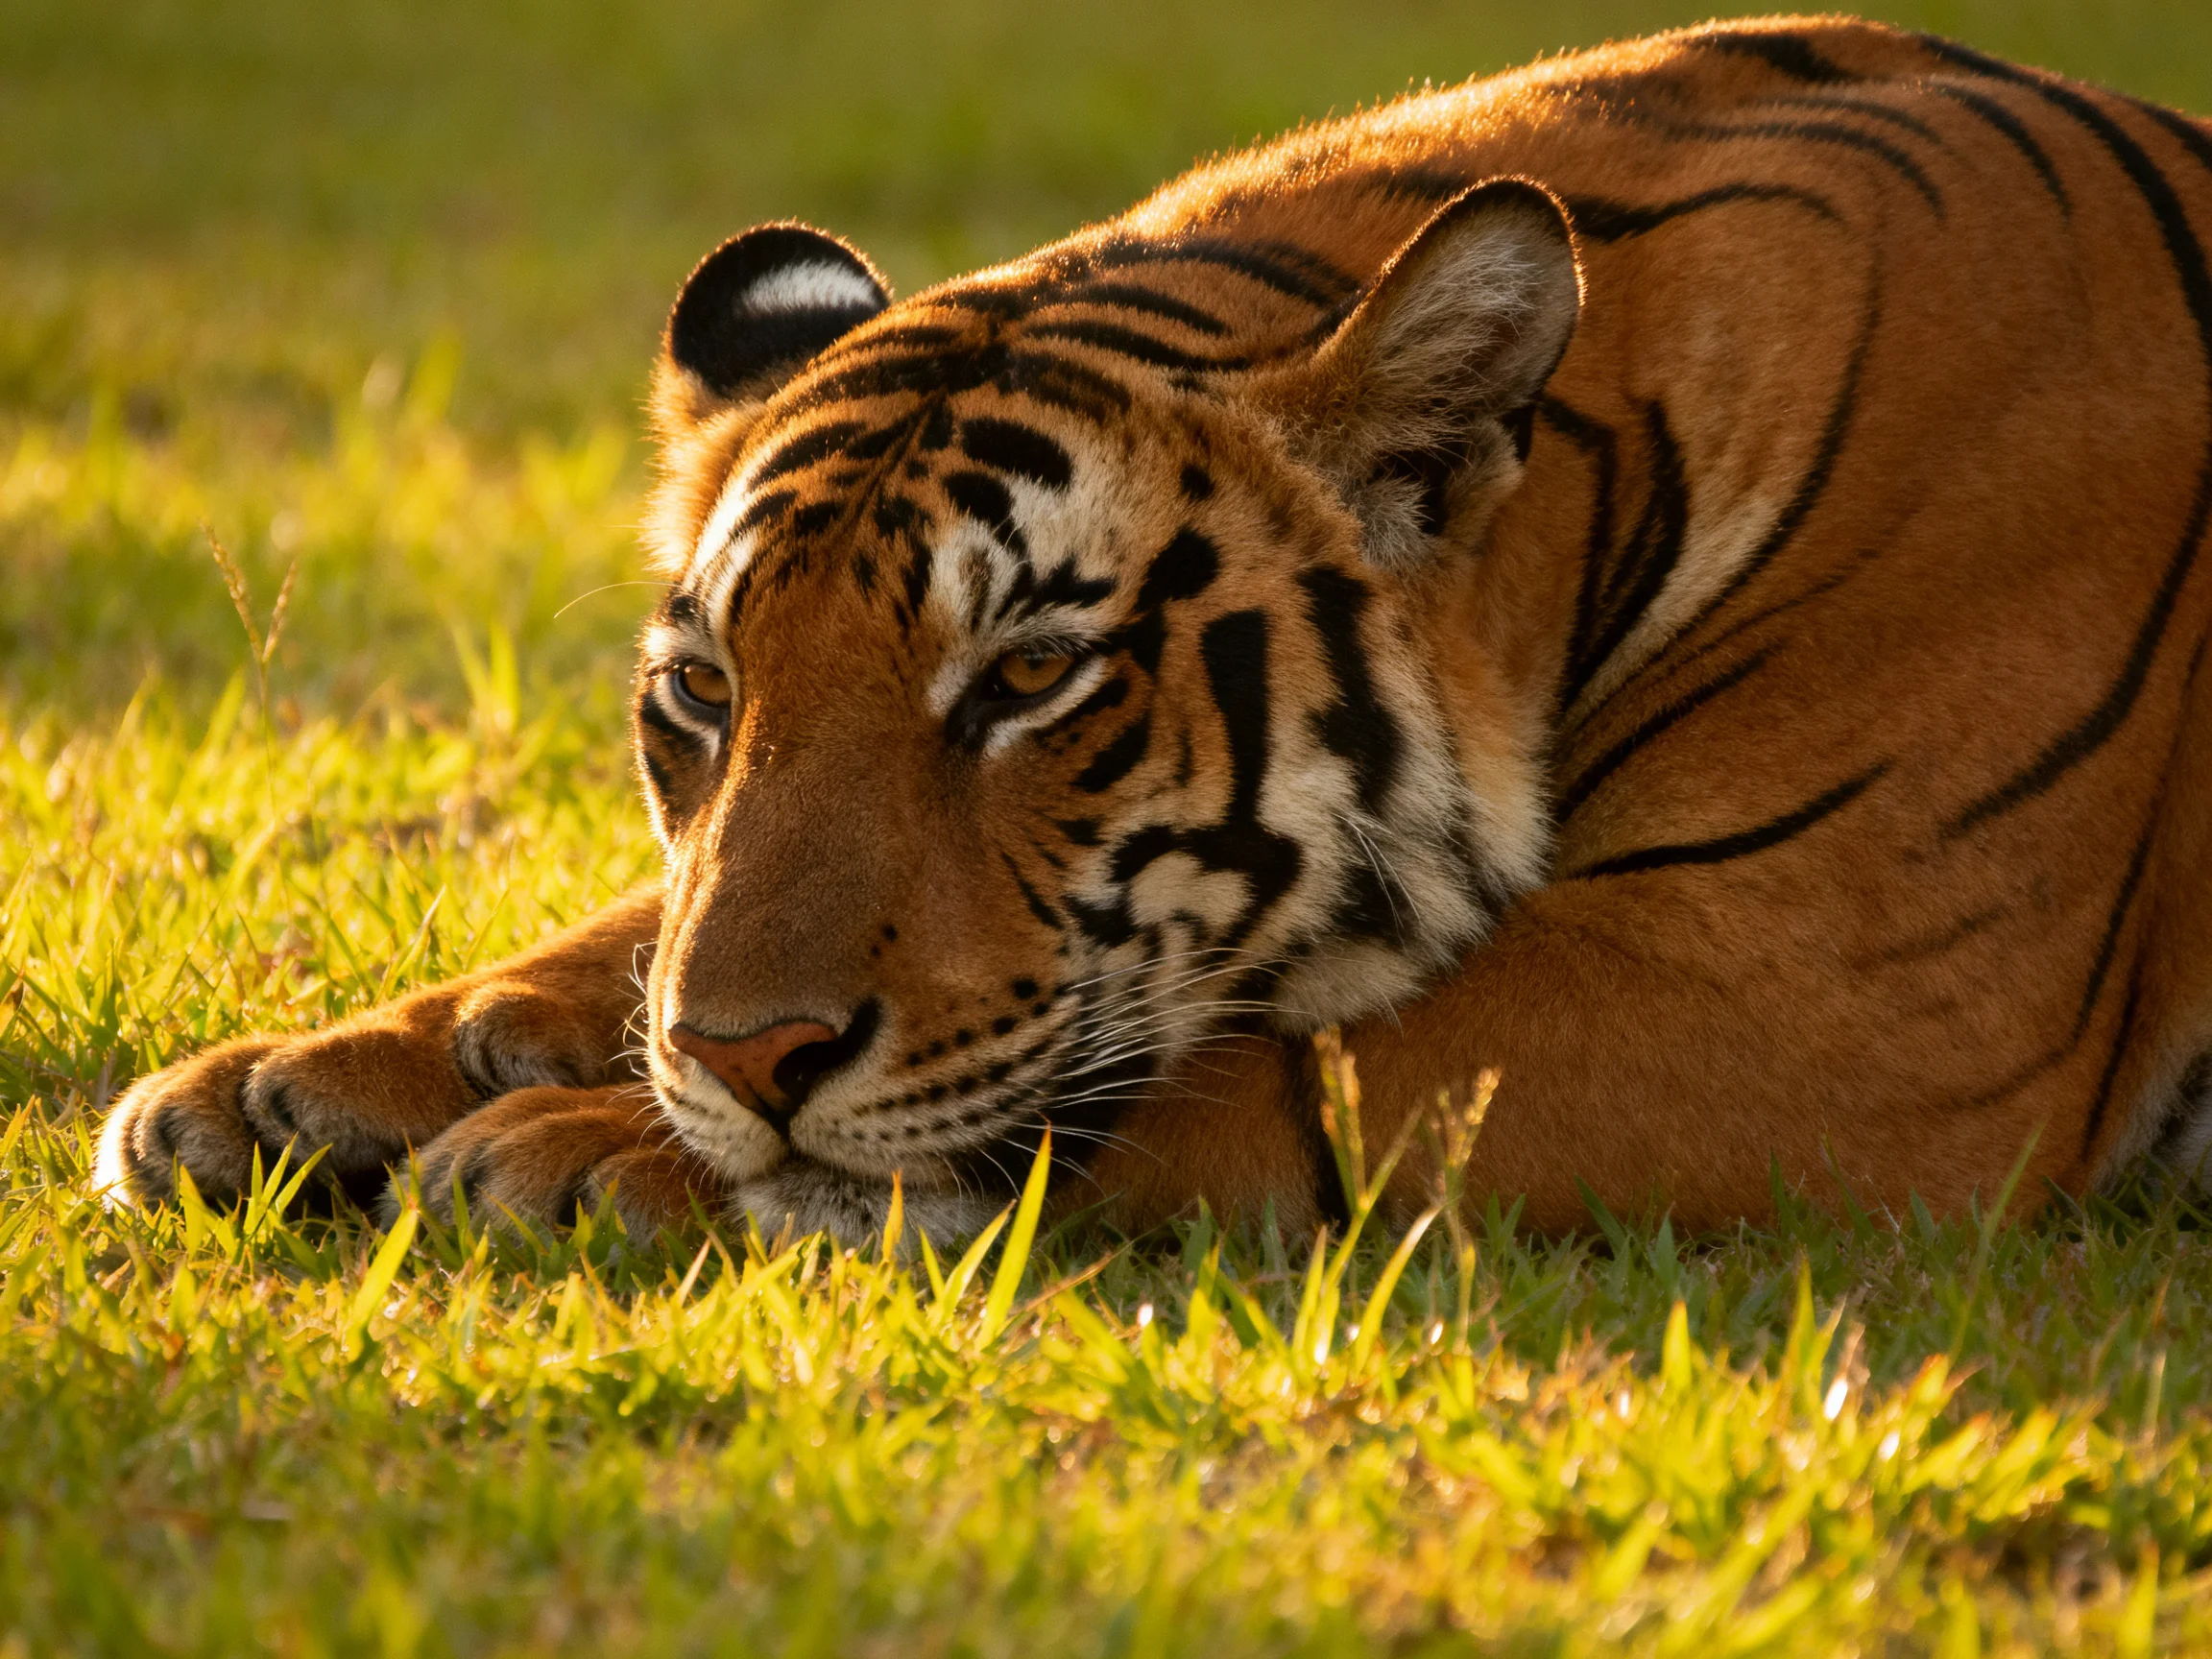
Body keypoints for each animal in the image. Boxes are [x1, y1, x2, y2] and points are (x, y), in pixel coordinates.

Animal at [97, 15, 2212, 1245]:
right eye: (704, 694)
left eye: (1030, 677)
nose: (743, 1060)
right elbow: (629, 930)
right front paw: (295, 1081)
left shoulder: (1823, 1009)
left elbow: (1256, 1077)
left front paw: (590, 1149)